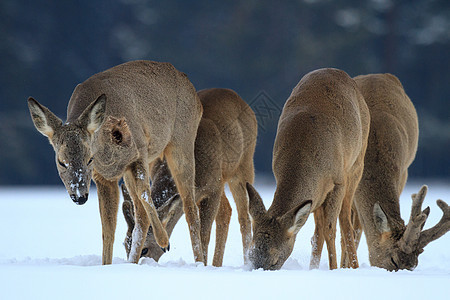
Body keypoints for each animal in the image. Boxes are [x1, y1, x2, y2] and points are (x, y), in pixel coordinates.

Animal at [26, 59, 204, 264]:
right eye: (61, 162)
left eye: (90, 159)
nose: (79, 197)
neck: (108, 156)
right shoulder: (103, 177)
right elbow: (108, 229)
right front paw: (106, 265)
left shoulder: (139, 151)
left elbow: (145, 194)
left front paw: (163, 240)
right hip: (130, 172)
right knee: (140, 215)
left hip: (181, 140)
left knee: (189, 208)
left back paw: (199, 261)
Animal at [123, 88, 256, 266]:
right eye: (125, 243)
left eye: (145, 249)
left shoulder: (214, 188)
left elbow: (203, 234)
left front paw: (202, 264)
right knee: (226, 211)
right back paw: (217, 264)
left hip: (244, 166)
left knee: (244, 217)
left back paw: (246, 262)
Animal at [246, 68, 370, 270]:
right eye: (250, 254)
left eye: (274, 261)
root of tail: (338, 72)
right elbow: (319, 232)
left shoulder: (338, 181)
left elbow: (331, 229)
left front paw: (333, 268)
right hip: (319, 194)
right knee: (318, 230)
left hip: (356, 164)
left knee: (346, 222)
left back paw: (353, 265)